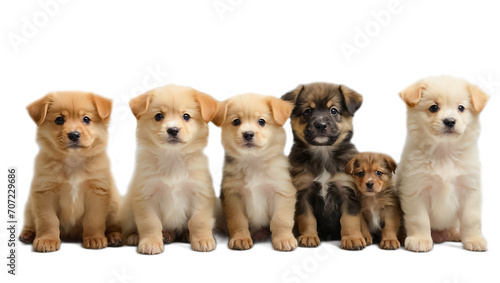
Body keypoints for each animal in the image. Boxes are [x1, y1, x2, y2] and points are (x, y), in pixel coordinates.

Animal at [19, 91, 122, 253]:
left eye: (86, 119)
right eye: (59, 120)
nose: (74, 134)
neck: (73, 161)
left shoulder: (97, 193)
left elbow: (93, 219)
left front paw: (94, 238)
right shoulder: (45, 193)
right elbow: (48, 220)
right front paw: (47, 240)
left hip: (114, 205)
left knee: (113, 225)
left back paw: (114, 237)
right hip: (29, 207)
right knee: (30, 223)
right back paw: (27, 234)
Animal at [121, 84, 219, 255]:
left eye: (186, 116)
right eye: (158, 116)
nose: (172, 130)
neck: (173, 160)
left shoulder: (201, 195)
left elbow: (198, 221)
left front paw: (203, 240)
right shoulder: (146, 196)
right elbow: (150, 223)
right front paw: (151, 243)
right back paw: (139, 236)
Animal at [211, 94, 296, 252]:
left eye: (261, 121)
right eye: (236, 121)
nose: (248, 134)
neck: (253, 162)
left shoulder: (282, 193)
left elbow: (280, 220)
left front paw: (284, 239)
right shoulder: (233, 196)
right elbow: (238, 221)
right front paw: (241, 238)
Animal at [282, 82, 368, 251]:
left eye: (333, 110)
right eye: (308, 111)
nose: (321, 125)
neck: (323, 152)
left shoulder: (347, 190)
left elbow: (350, 219)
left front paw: (352, 238)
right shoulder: (303, 191)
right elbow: (307, 218)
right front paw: (309, 237)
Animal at [396, 76, 490, 253]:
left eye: (461, 108)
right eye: (434, 107)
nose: (450, 121)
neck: (444, 153)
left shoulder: (470, 190)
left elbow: (471, 219)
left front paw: (474, 239)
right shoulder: (416, 191)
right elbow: (419, 220)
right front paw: (420, 240)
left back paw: (454, 234)